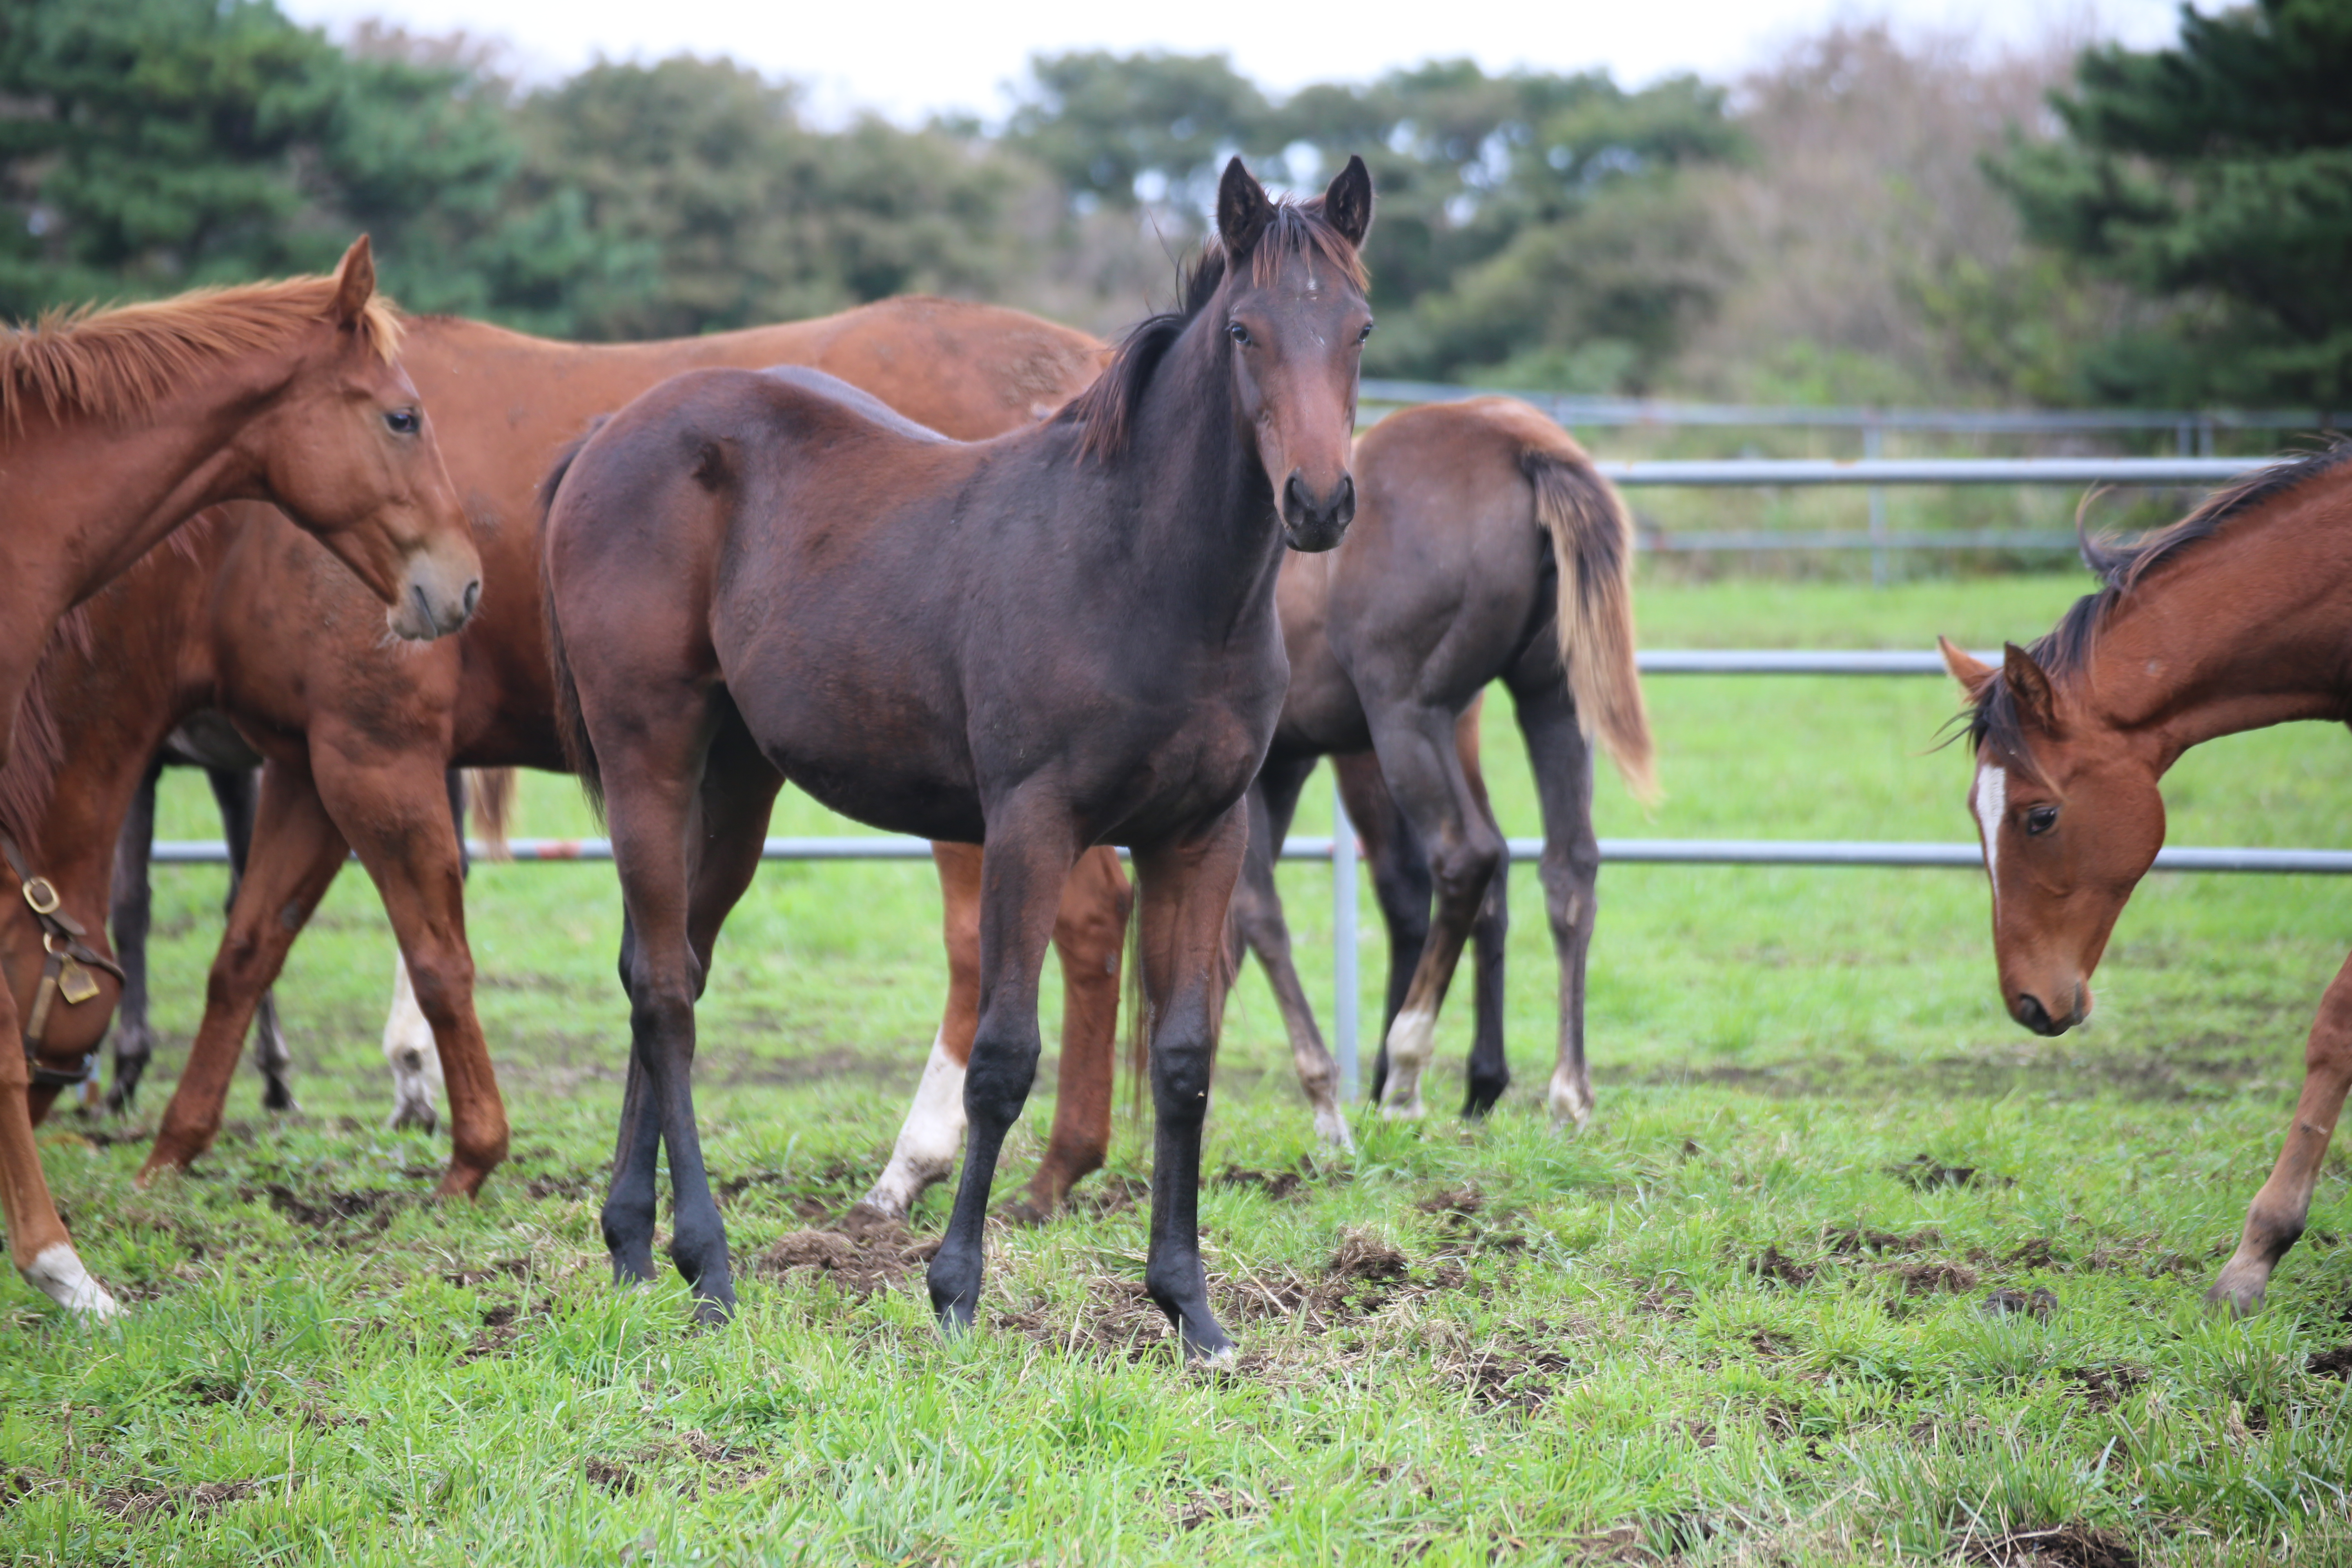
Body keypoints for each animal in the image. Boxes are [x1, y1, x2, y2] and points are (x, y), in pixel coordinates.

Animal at [2, 294, 1110, 1203]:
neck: (248, 523)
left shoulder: (374, 758)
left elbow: (438, 955)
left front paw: (469, 1153)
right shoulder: (305, 771)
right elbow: (245, 949)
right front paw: (174, 1149)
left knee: (990, 945)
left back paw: (916, 1162)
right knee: (1094, 919)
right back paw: (1063, 1163)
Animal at [539, 162, 1373, 1363]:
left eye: (1359, 326)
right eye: (1245, 330)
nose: (1317, 502)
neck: (1145, 571)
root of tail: (612, 431)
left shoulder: (1200, 834)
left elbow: (1181, 1060)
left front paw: (1190, 1308)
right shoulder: (1033, 824)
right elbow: (1003, 1057)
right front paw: (955, 1293)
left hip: (736, 784)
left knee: (672, 969)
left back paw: (633, 1245)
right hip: (648, 755)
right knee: (662, 989)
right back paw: (709, 1267)